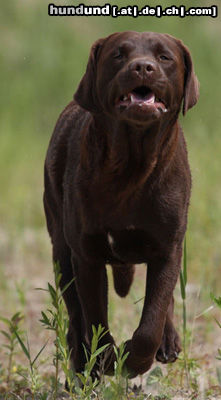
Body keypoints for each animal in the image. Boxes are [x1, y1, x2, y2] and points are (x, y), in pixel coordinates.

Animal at [43, 31, 199, 378]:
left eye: (164, 57)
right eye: (118, 54)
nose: (142, 67)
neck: (131, 168)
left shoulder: (168, 249)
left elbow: (152, 319)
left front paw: (133, 359)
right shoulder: (86, 255)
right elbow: (94, 316)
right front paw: (104, 358)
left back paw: (168, 341)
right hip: (61, 249)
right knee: (75, 314)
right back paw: (81, 361)